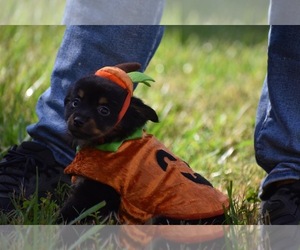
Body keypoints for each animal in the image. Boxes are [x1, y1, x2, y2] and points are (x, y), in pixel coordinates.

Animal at [61, 62, 230, 225]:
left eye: (104, 110)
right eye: (75, 103)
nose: (78, 120)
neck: (114, 140)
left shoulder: (96, 188)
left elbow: (73, 210)